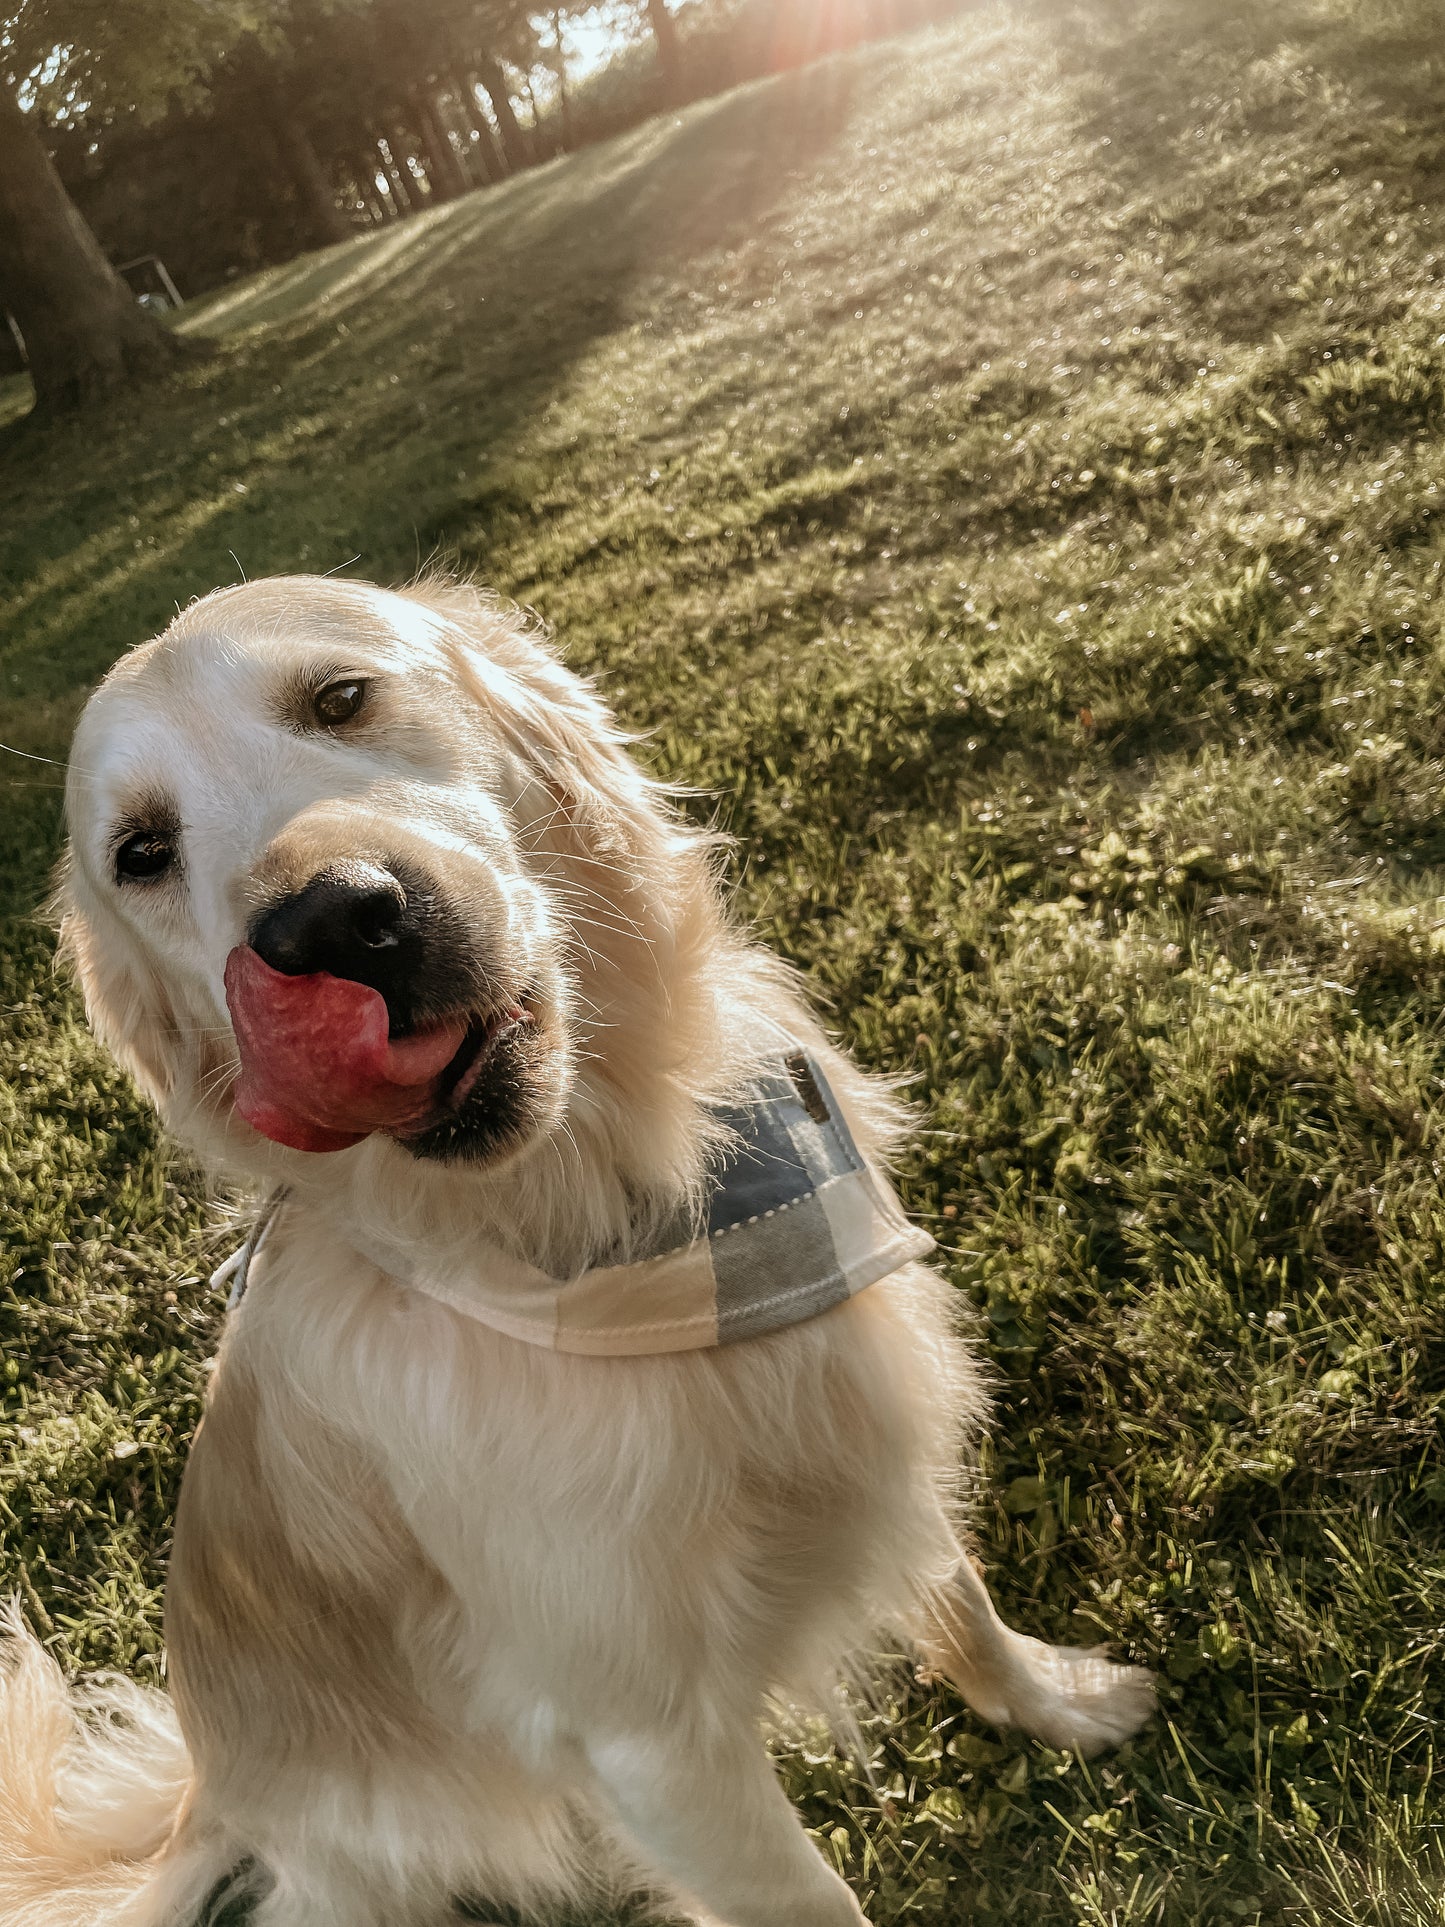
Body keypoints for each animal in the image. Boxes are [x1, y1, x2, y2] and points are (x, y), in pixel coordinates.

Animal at [0, 578, 1156, 1927]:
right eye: (141, 853)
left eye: (338, 696)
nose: (328, 922)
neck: (612, 1216)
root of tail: (210, 1790)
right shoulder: (648, 1745)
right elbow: (809, 1898)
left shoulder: (872, 1410)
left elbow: (956, 1594)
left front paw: (1054, 1701)